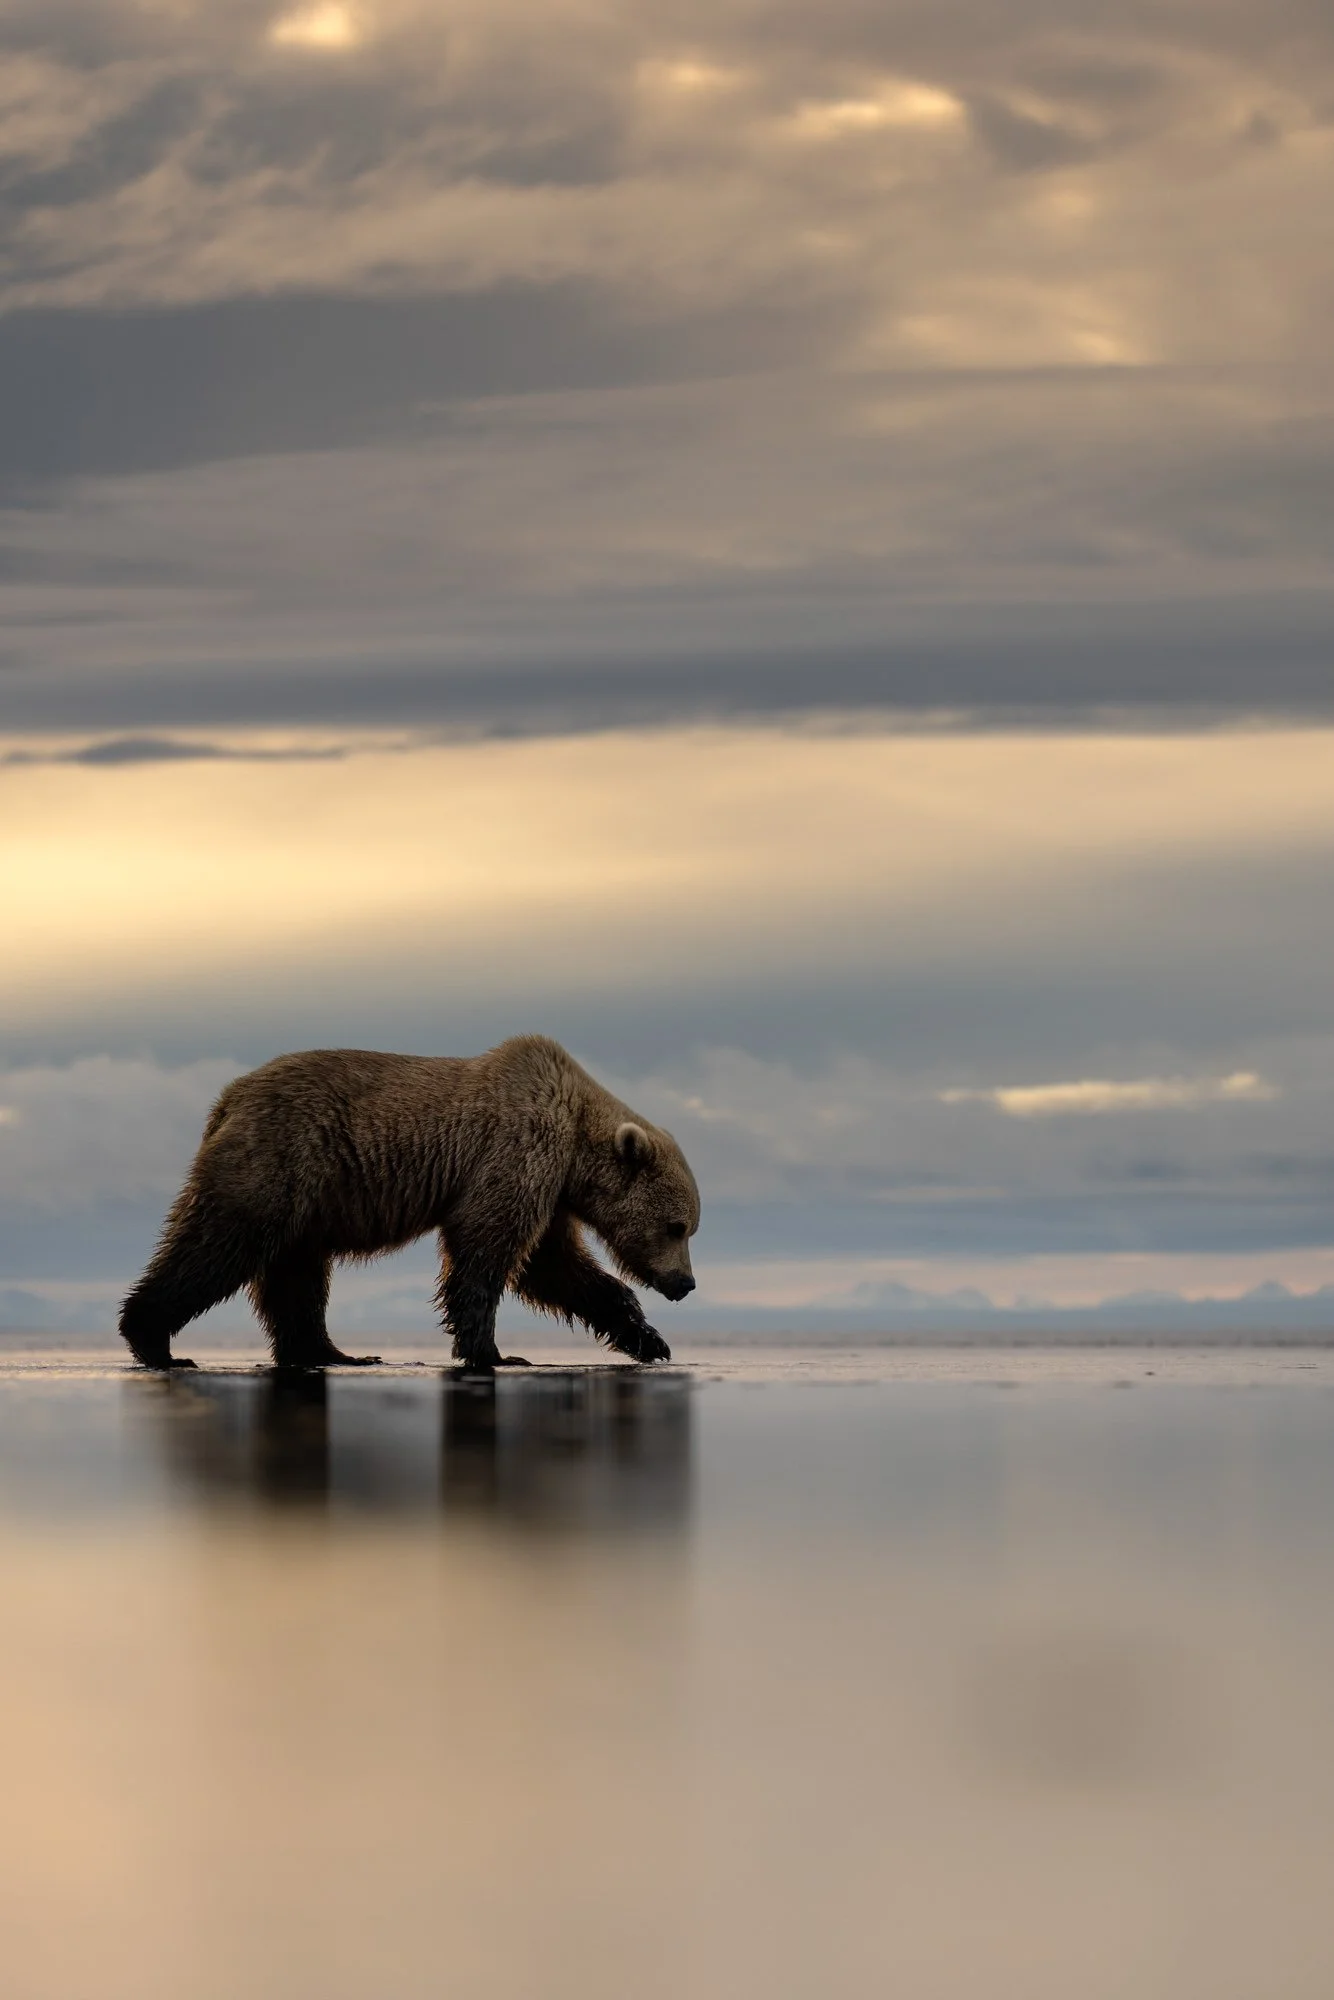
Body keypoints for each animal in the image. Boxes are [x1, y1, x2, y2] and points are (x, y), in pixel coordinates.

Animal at [118, 1035, 700, 1372]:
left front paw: (650, 1340)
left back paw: (334, 1353)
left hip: (306, 1202)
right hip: (279, 1161)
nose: (686, 1283)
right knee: (219, 1244)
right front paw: (494, 1352)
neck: (575, 1137)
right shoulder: (517, 1152)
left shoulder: (550, 1189)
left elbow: (557, 1268)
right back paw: (155, 1341)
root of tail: (227, 1099)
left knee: (297, 1273)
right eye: (677, 1226)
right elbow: (489, 1251)